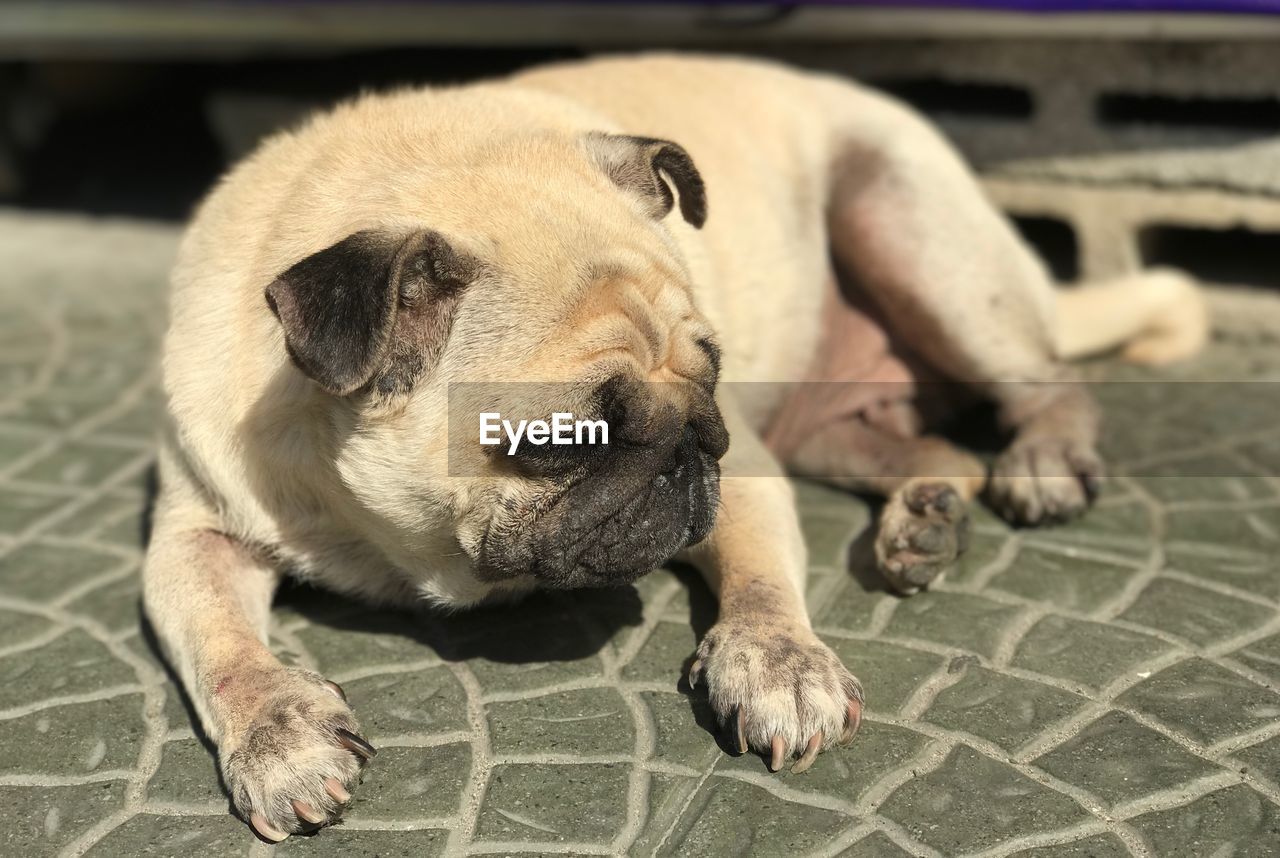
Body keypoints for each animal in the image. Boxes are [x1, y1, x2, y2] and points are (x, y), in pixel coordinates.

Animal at [145, 52, 1203, 840]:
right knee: (935, 448)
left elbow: (762, 580)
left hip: (923, 244)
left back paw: (1042, 463)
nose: (690, 446)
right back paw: (923, 521)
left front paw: (776, 663)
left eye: (712, 370)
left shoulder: (749, 477)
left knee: (1048, 383)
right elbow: (218, 643)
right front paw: (279, 734)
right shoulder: (197, 533)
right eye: (564, 438)